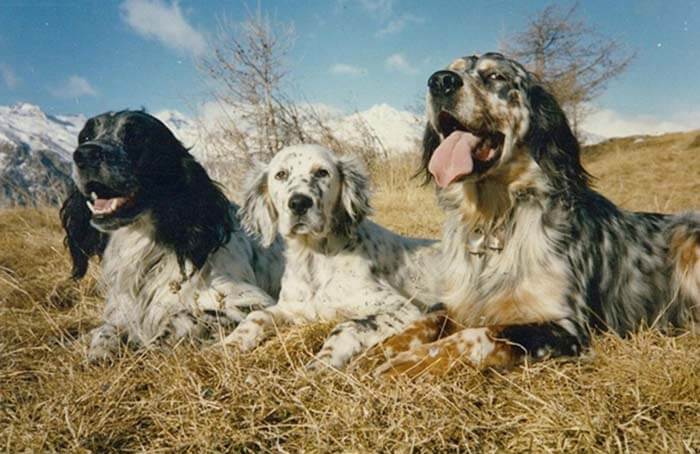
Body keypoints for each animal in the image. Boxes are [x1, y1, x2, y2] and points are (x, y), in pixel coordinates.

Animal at [221, 145, 440, 368]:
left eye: (322, 172)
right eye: (281, 174)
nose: (299, 203)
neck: (313, 258)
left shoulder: (402, 308)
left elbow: (348, 325)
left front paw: (321, 362)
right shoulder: (292, 308)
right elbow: (256, 315)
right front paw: (228, 345)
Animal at [378, 53, 700, 378]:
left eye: (495, 76)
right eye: (451, 70)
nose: (440, 81)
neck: (495, 219)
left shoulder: (567, 328)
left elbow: (479, 334)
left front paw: (411, 361)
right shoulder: (458, 302)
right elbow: (423, 322)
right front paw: (378, 352)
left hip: (688, 239)